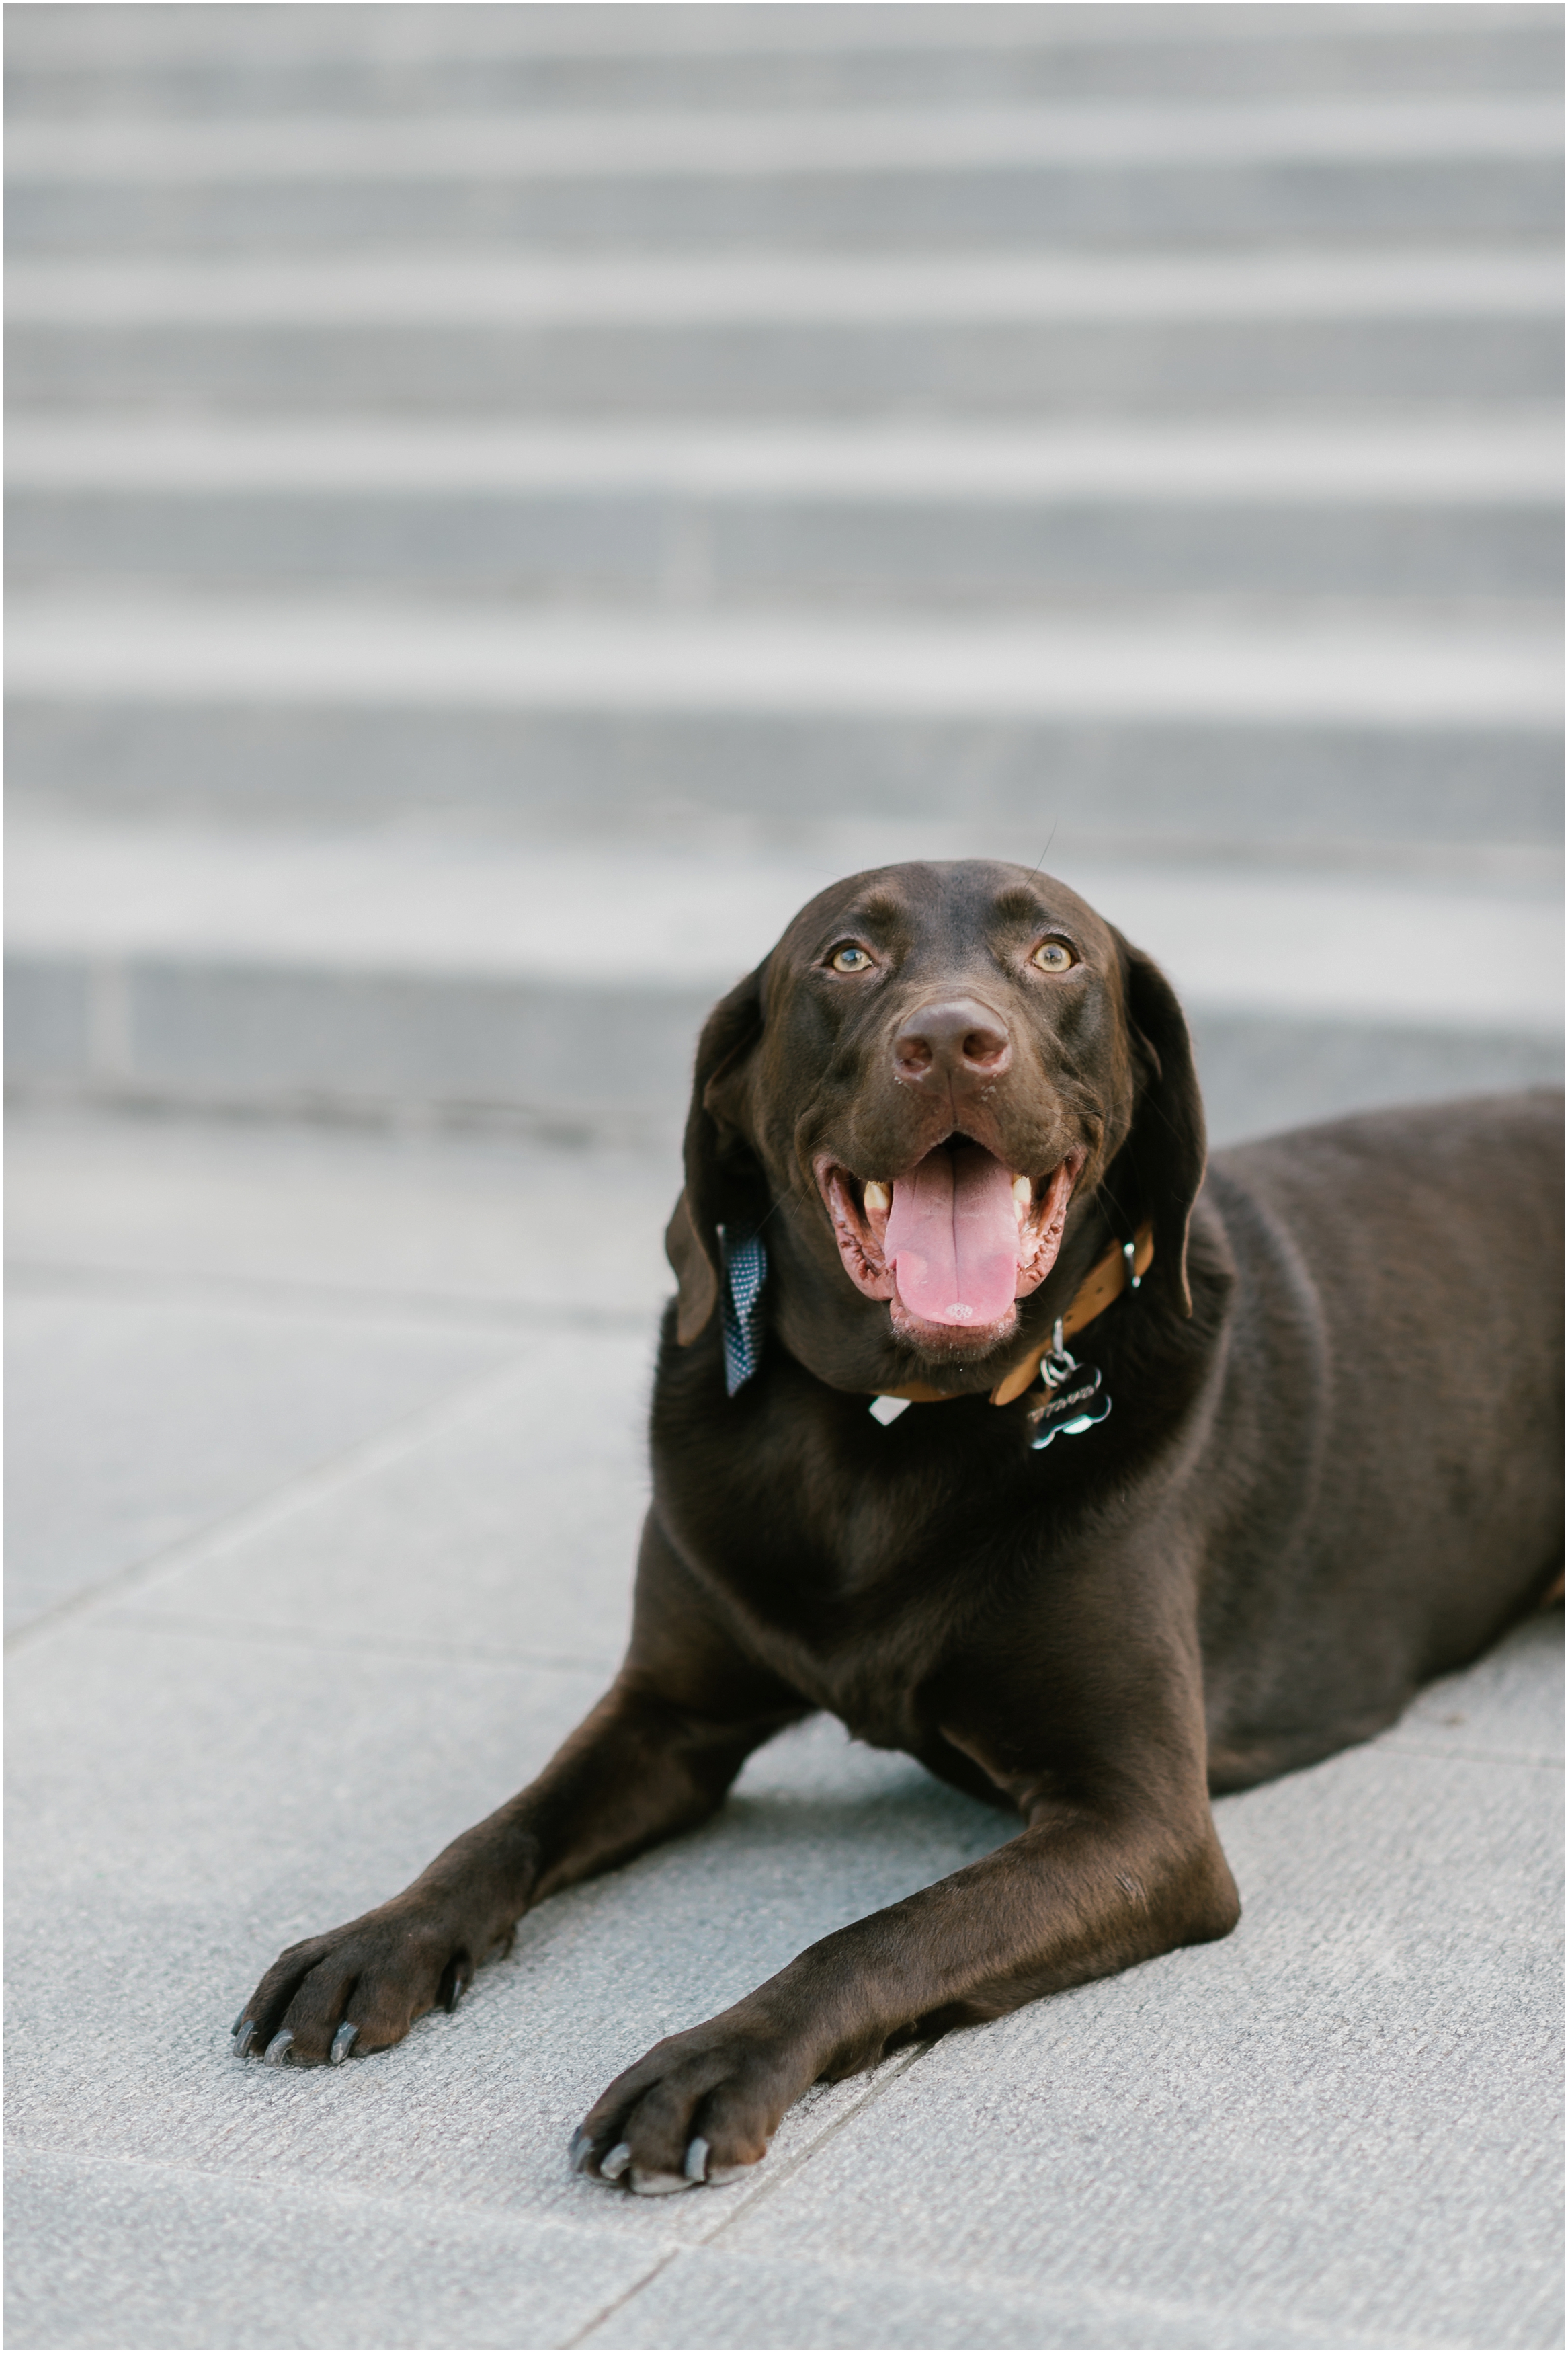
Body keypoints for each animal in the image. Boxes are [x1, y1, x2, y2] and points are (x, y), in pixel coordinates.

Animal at [230, 856, 1561, 2193]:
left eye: (1055, 956)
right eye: (847, 958)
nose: (952, 1043)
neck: (893, 1427)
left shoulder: (1140, 1821)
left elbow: (888, 1931)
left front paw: (714, 2061)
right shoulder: (668, 1714)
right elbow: (503, 1825)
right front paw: (377, 1937)